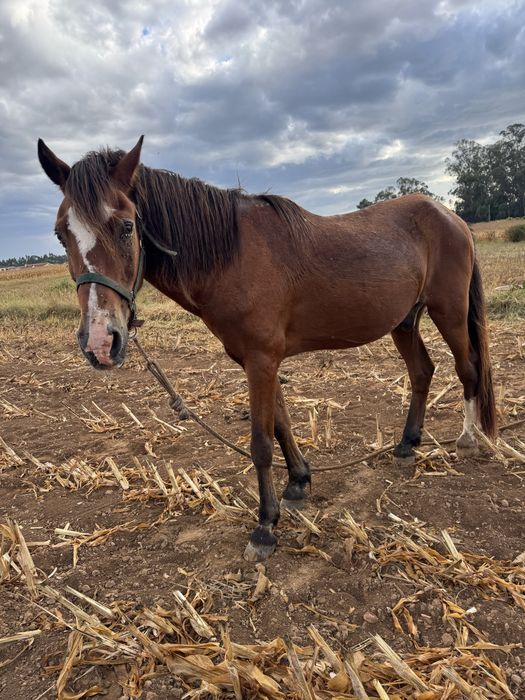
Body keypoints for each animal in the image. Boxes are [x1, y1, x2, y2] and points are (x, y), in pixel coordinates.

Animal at [38, 136, 496, 562]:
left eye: (127, 226)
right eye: (61, 235)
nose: (101, 342)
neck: (232, 256)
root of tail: (450, 215)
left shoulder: (261, 360)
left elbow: (260, 441)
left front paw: (265, 527)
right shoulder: (260, 360)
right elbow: (281, 424)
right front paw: (298, 483)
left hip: (449, 312)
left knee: (468, 369)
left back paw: (467, 441)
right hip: (404, 321)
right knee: (422, 372)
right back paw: (406, 445)